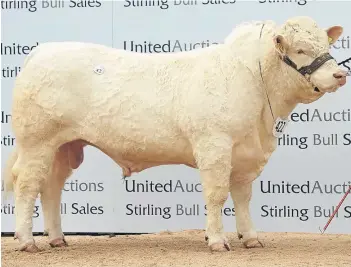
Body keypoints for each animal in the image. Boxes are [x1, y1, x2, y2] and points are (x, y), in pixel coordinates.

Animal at [2, 15, 350, 253]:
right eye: (301, 49)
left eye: (327, 45)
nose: (339, 74)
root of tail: (42, 52)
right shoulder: (214, 145)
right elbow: (216, 195)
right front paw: (218, 241)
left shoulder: (245, 153)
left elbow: (242, 197)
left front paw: (251, 238)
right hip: (37, 141)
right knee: (27, 185)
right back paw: (27, 241)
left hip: (64, 145)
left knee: (51, 188)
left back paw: (58, 239)